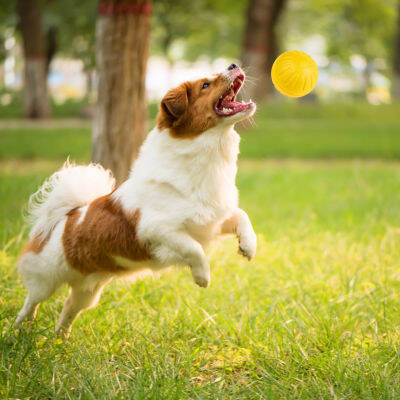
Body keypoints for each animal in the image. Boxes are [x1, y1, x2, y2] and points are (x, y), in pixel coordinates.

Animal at [14, 63, 256, 338]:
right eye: (205, 85)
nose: (233, 65)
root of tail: (67, 216)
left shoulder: (212, 220)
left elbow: (241, 216)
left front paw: (248, 246)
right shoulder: (157, 230)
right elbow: (193, 248)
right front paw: (202, 277)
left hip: (88, 291)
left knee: (68, 308)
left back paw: (60, 339)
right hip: (45, 279)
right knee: (32, 302)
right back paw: (20, 329)